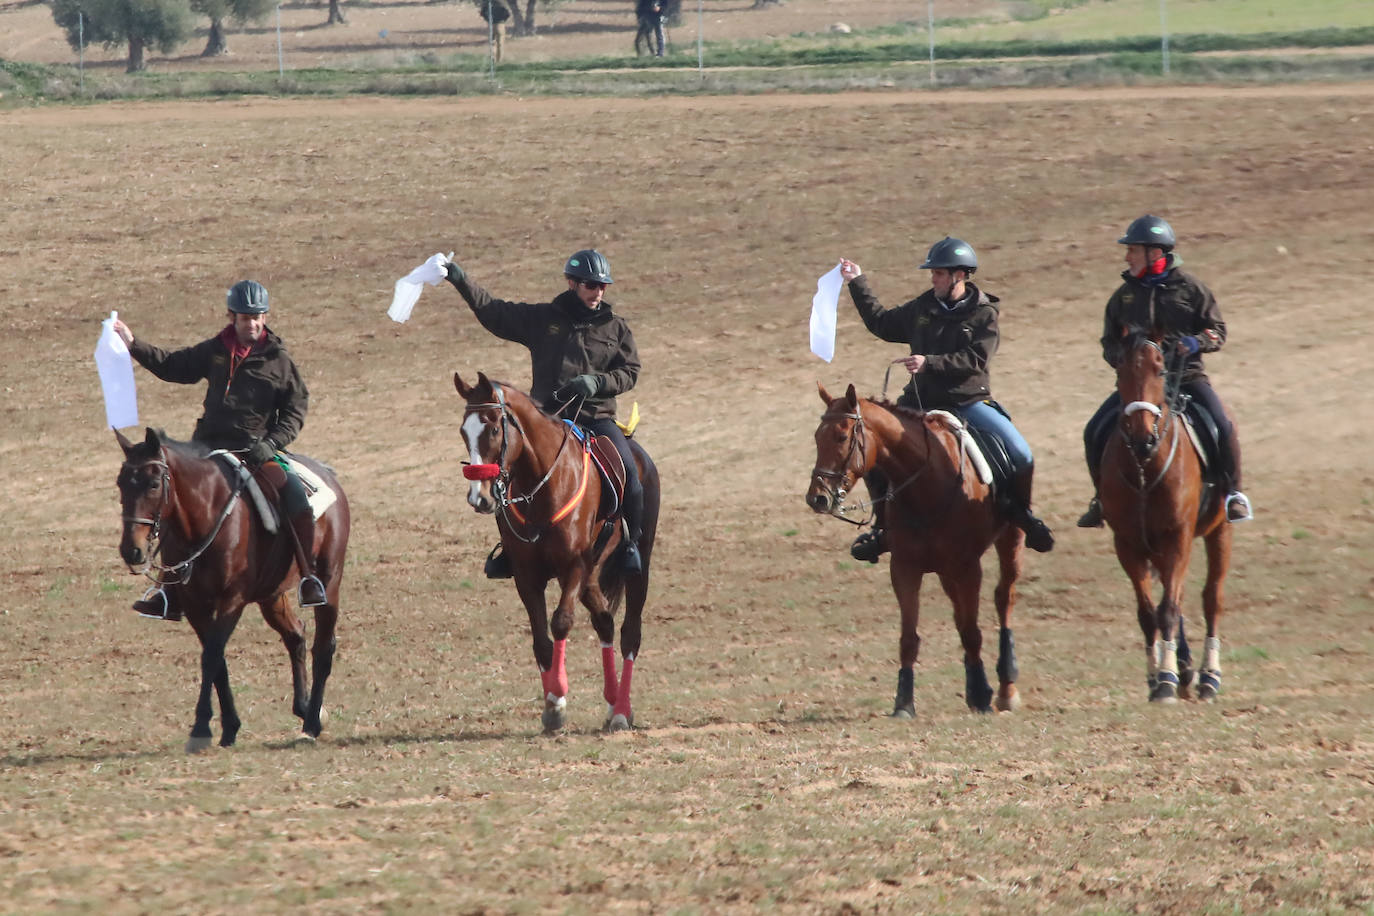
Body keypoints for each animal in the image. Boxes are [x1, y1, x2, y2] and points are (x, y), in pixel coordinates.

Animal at [116, 431, 351, 752]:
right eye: (121, 483)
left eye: (153, 484)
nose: (131, 550)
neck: (207, 515)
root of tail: (328, 475)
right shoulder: (195, 605)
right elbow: (217, 661)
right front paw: (228, 726)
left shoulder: (232, 601)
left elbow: (211, 657)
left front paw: (201, 729)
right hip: (272, 596)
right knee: (296, 636)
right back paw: (304, 708)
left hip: (330, 583)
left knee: (324, 647)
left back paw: (312, 723)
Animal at [453, 368, 662, 736]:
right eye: (464, 431)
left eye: (494, 429)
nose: (479, 498)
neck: (541, 484)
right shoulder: (527, 577)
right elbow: (541, 639)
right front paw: (551, 704)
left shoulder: (573, 567)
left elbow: (561, 622)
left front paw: (558, 699)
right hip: (592, 574)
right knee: (604, 621)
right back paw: (612, 703)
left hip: (637, 566)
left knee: (629, 634)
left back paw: (622, 711)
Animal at [807, 384, 1027, 719]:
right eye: (817, 437)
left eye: (842, 437)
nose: (817, 498)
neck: (928, 484)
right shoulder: (904, 568)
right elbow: (910, 638)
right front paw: (904, 702)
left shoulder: (968, 567)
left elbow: (971, 631)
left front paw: (981, 695)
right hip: (946, 571)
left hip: (1009, 540)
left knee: (1004, 598)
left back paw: (1005, 689)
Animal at [1099, 333, 1231, 708]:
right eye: (1120, 372)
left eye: (1160, 371)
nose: (1142, 437)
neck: (1145, 466)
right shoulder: (1127, 544)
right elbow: (1149, 614)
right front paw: (1155, 677)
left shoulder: (1178, 538)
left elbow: (1169, 609)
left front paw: (1168, 680)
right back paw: (1185, 672)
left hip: (1219, 531)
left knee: (1211, 598)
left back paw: (1208, 678)